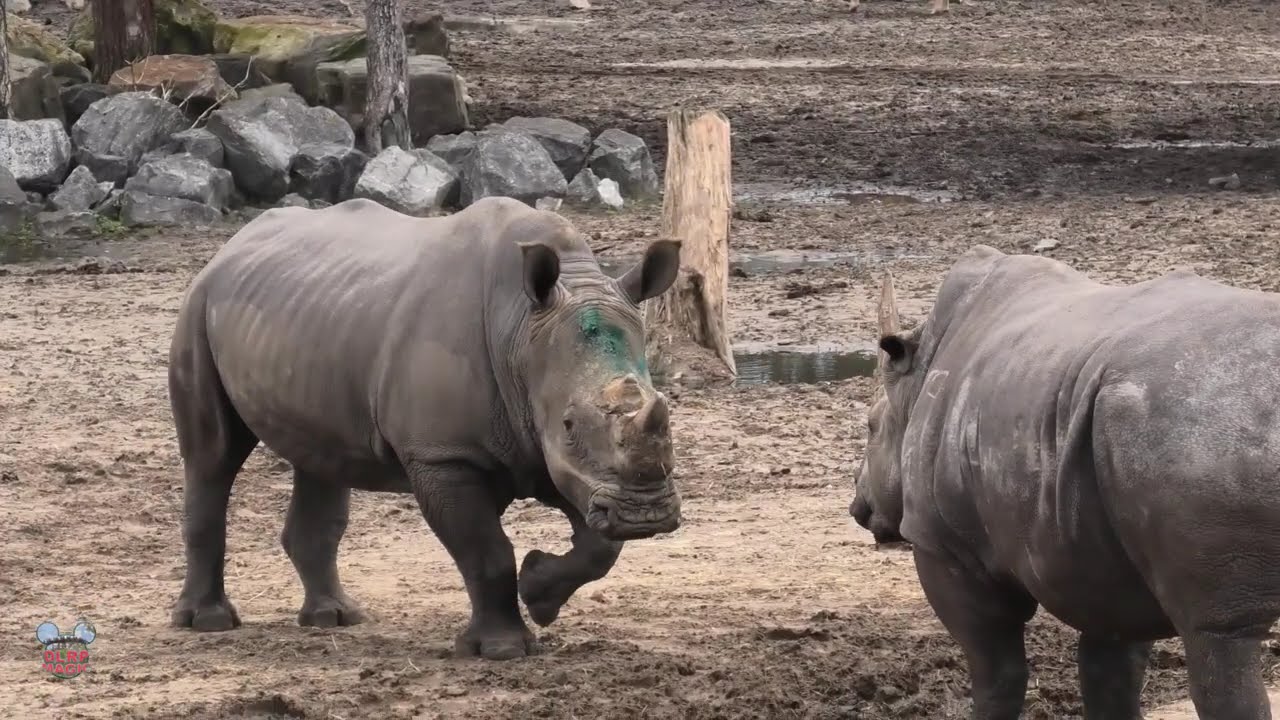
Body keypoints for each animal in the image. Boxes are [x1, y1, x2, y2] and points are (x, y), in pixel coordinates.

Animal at [167, 196, 683, 660]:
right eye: (570, 423)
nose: (646, 516)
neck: (521, 332)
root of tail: (230, 246)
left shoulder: (561, 461)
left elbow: (600, 547)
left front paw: (538, 592)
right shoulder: (444, 455)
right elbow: (486, 551)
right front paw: (502, 649)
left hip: (306, 320)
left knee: (319, 457)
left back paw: (334, 618)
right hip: (198, 306)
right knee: (212, 456)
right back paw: (208, 623)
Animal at [852, 245, 1280, 719]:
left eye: (870, 427)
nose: (858, 508)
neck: (916, 376)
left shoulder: (943, 544)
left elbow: (996, 673)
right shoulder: (1103, 559)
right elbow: (1109, 673)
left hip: (1202, 421)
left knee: (1217, 638)